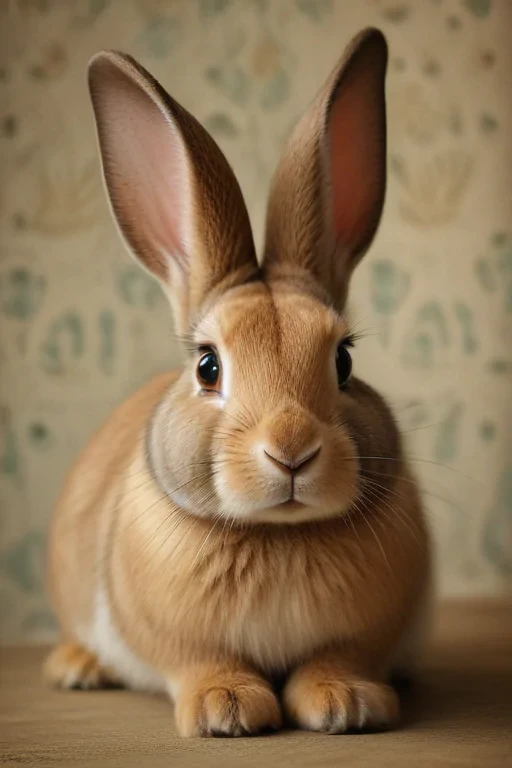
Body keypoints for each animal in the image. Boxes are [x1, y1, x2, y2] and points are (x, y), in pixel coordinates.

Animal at [44, 28, 432, 738]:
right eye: (208, 366)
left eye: (344, 361)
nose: (292, 450)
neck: (277, 533)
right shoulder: (179, 641)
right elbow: (202, 661)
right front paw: (226, 709)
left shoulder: (361, 637)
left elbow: (337, 658)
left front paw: (346, 703)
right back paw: (77, 667)